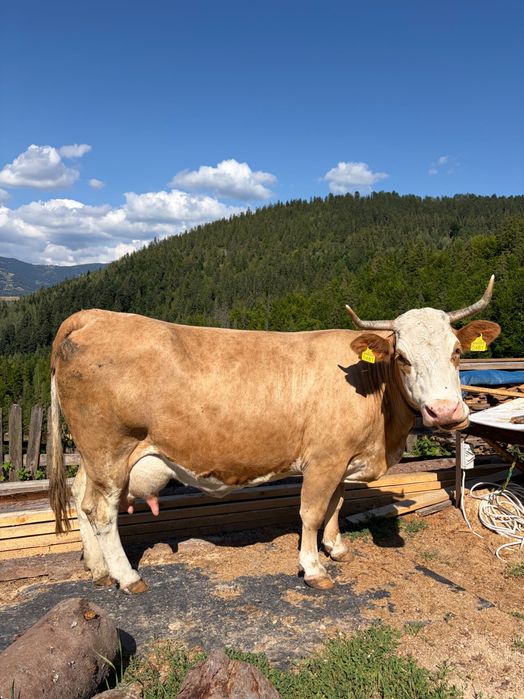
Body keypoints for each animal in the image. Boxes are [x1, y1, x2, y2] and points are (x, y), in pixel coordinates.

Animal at [49, 277, 500, 593]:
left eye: (457, 352)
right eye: (403, 357)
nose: (445, 411)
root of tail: (94, 315)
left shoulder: (342, 460)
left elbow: (336, 505)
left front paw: (337, 549)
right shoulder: (324, 459)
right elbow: (312, 512)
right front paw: (313, 568)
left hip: (96, 456)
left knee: (81, 497)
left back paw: (99, 570)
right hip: (110, 448)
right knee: (102, 511)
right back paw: (127, 578)